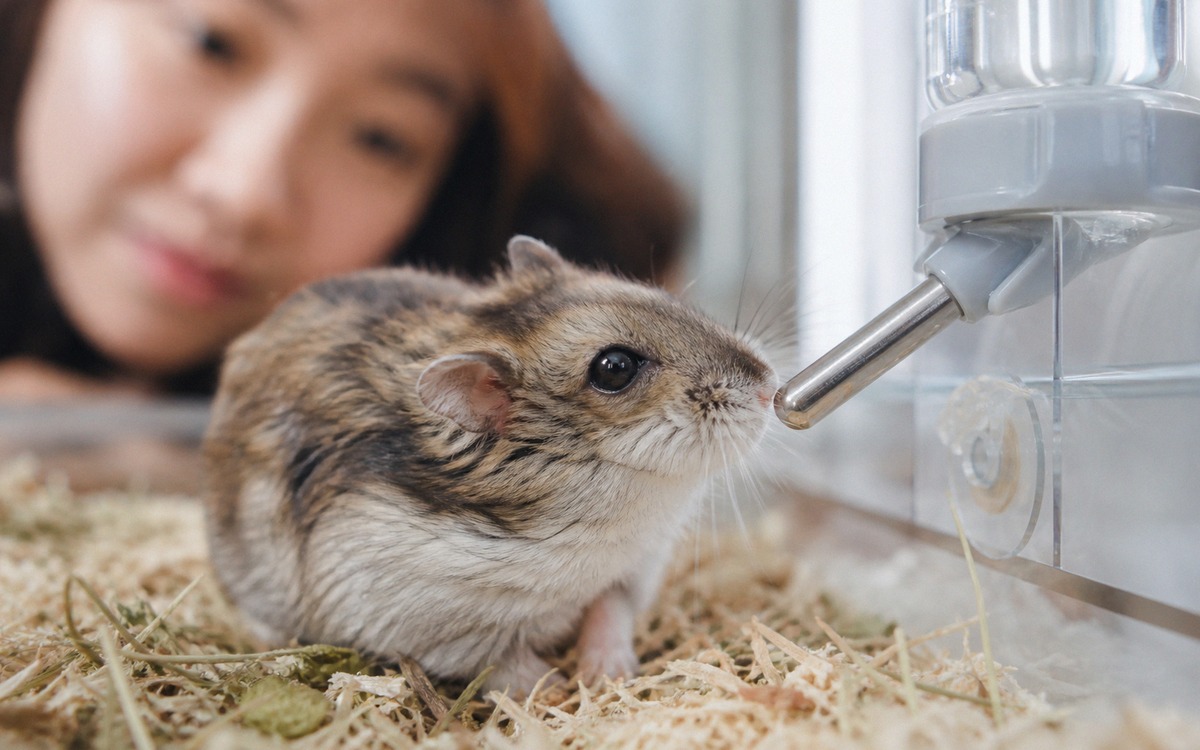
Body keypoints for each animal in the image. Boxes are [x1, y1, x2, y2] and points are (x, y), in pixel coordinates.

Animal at [203, 236, 775, 695]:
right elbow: (504, 662)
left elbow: (609, 610)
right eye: (614, 368)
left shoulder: (633, 572)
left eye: (660, 297)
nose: (769, 387)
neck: (600, 518)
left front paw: (605, 675)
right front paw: (558, 687)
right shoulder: (421, 622)